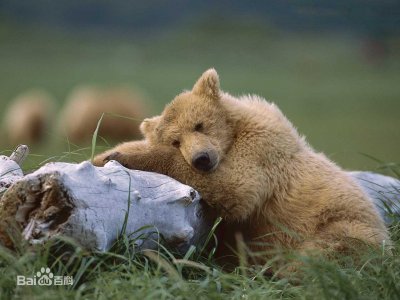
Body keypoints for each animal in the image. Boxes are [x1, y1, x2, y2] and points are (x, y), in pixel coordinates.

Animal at [93, 69, 388, 270]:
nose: (201, 159)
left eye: (199, 124)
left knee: (324, 253)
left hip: (342, 225)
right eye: (176, 140)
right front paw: (105, 154)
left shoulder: (262, 149)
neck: (234, 132)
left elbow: (236, 187)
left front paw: (124, 154)